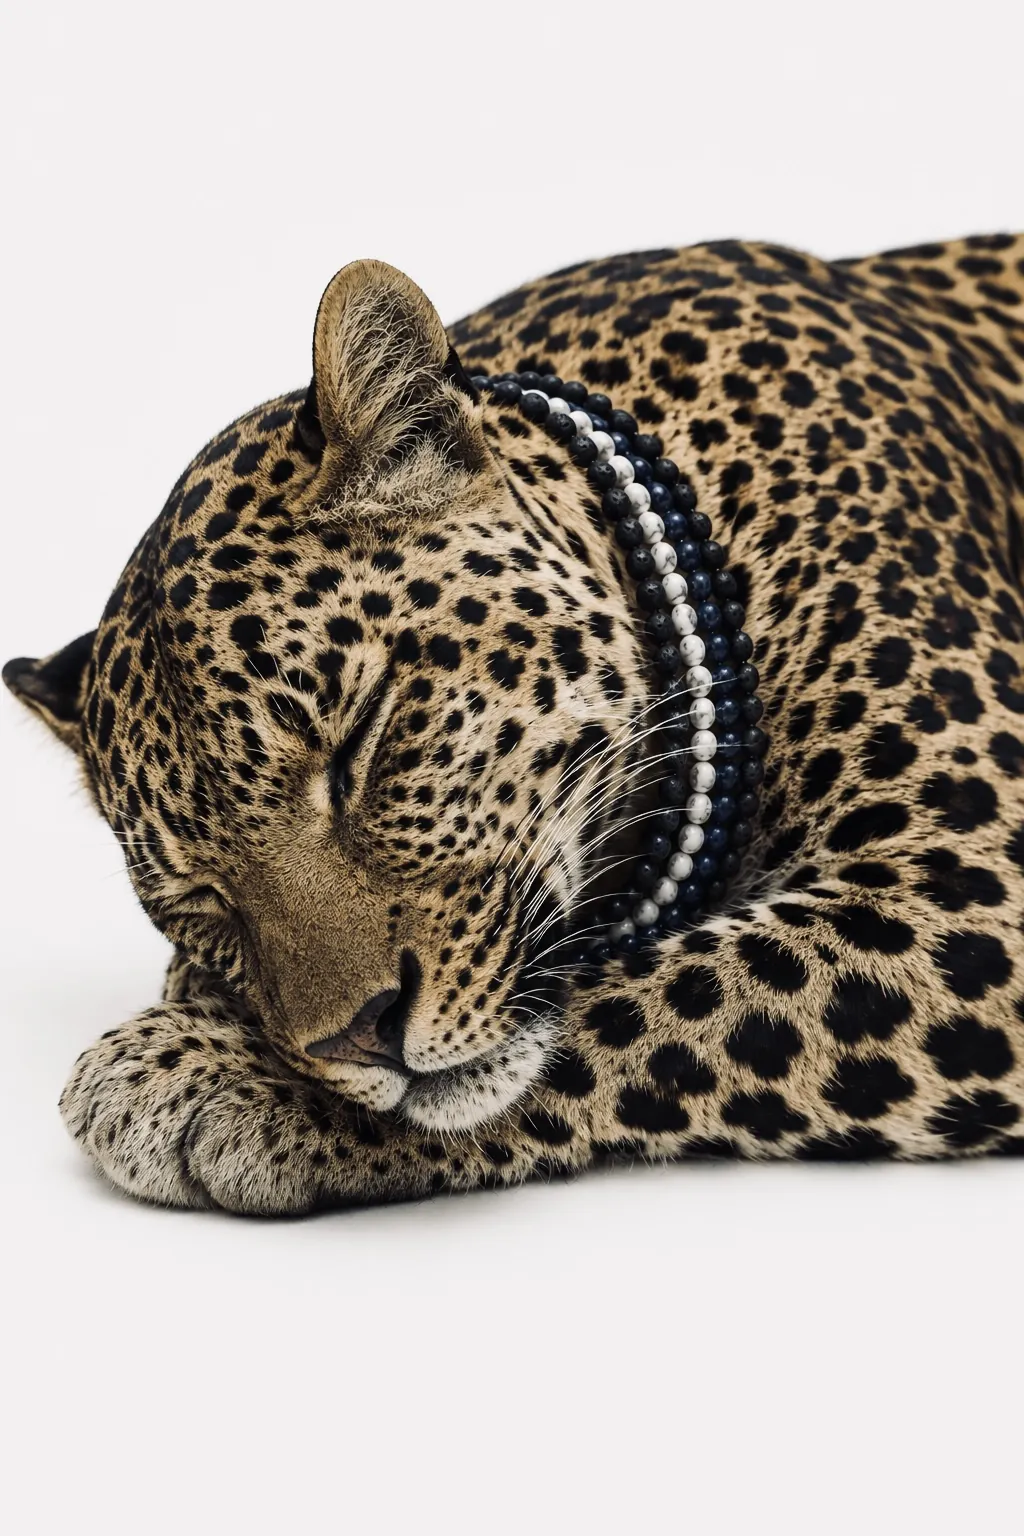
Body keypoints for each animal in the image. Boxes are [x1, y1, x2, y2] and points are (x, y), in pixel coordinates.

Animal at [6, 234, 1024, 1216]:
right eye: (200, 901)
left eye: (360, 744)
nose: (361, 1039)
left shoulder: (970, 880)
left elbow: (668, 988)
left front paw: (203, 1076)